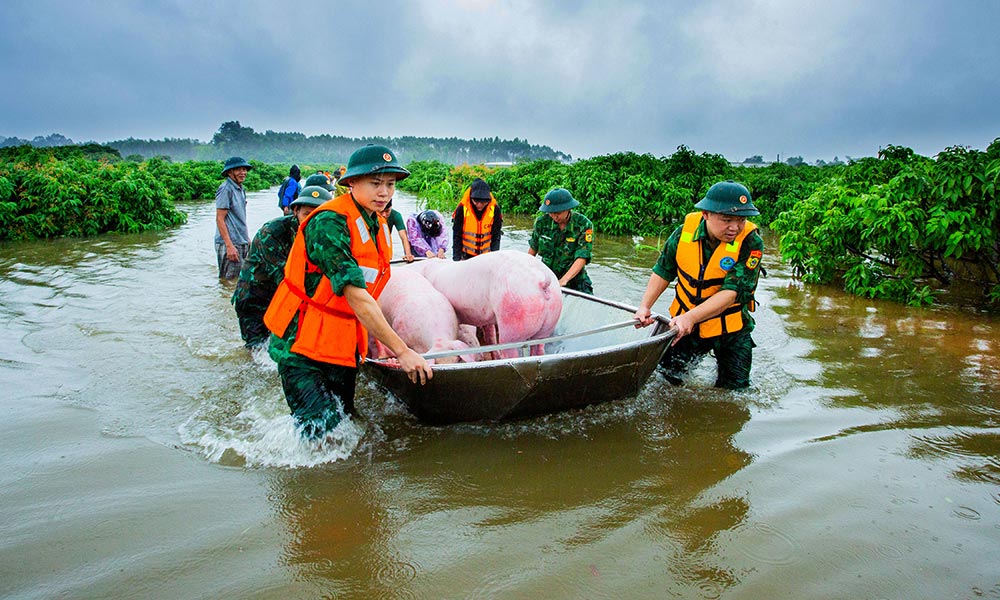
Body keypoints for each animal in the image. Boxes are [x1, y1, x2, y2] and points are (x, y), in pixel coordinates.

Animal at [410, 251, 560, 358]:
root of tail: (542, 281)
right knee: (539, 348)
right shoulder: (487, 315)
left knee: (511, 352)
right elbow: (490, 336)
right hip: (549, 320)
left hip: (514, 315)